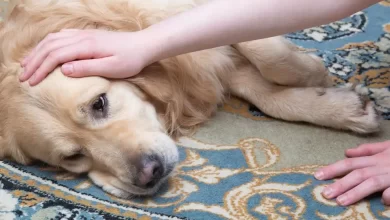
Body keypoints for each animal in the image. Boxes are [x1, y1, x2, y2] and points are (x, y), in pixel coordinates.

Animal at [0, 0, 380, 199]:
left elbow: (264, 51)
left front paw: (311, 70)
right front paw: (340, 105)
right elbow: (263, 91)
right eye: (72, 157)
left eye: (99, 104)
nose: (148, 174)